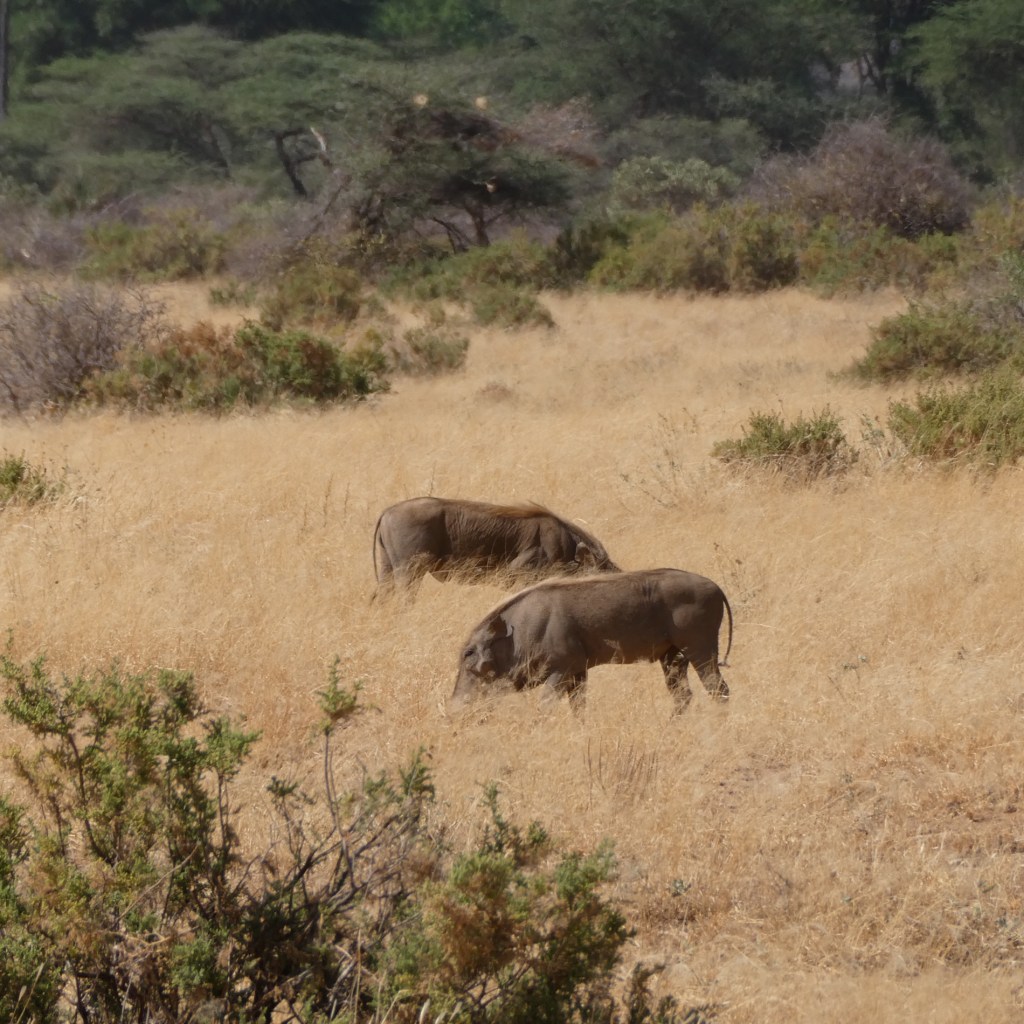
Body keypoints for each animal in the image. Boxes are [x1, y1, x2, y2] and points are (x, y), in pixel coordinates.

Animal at [451, 568, 732, 714]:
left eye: (468, 653)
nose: (453, 710)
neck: (520, 632)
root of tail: (717, 587)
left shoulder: (563, 668)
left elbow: (546, 706)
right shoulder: (579, 672)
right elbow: (578, 708)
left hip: (700, 648)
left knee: (718, 689)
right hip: (672, 657)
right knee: (683, 695)